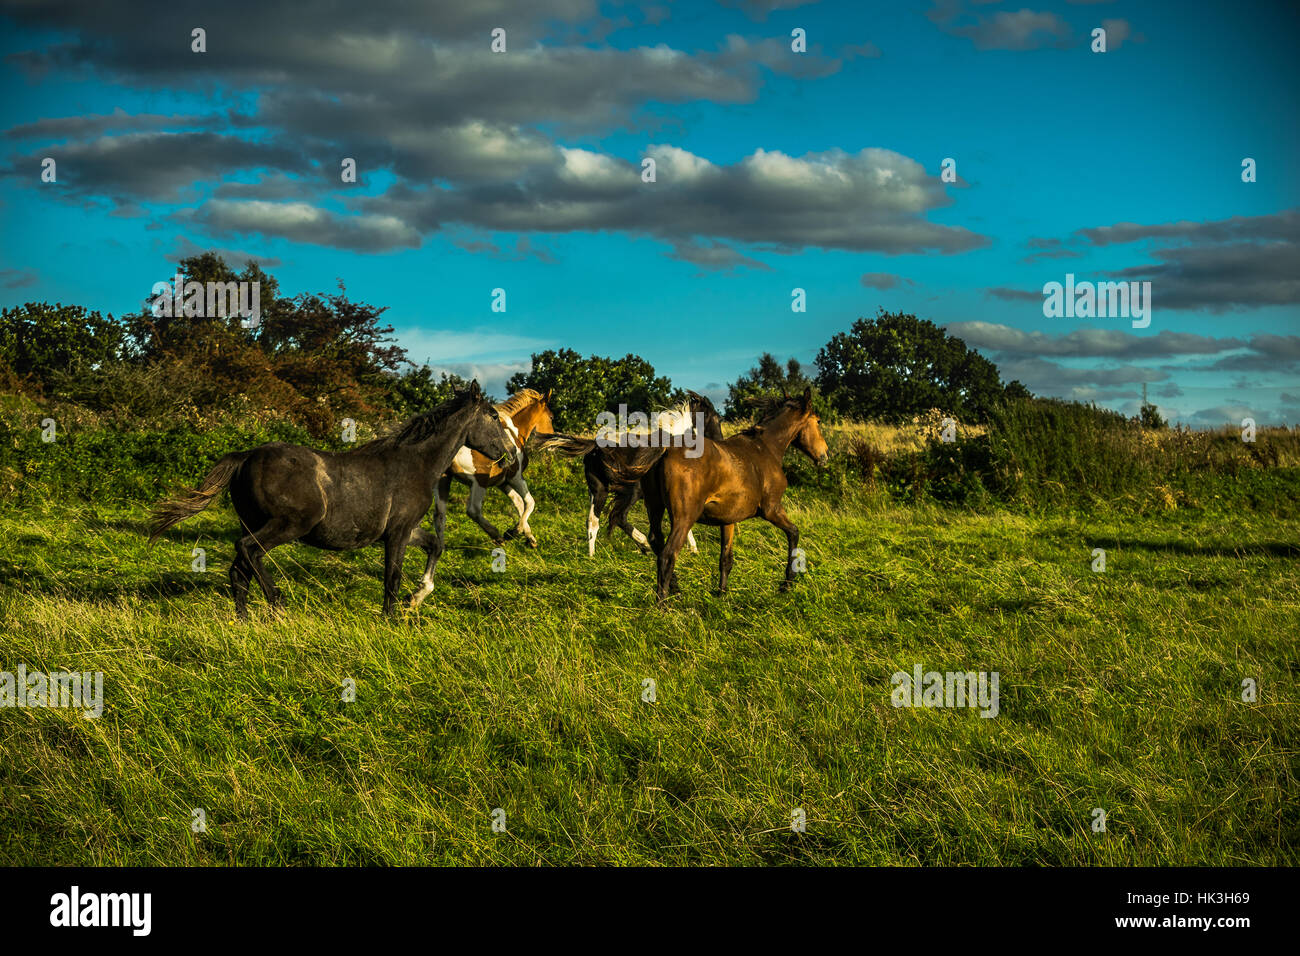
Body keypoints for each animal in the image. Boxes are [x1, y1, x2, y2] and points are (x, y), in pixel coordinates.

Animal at [147, 382, 515, 618]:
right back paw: (277, 605)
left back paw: (244, 621)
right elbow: (392, 576)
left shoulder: (407, 529)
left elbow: (435, 546)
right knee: (248, 551)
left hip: (252, 521)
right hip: (288, 525)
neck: (415, 462)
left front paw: (417, 597)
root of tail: (246, 456)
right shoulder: (397, 534)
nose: (510, 454)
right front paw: (391, 617)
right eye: (494, 417)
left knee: (239, 571)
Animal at [443, 388, 555, 548]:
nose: (552, 443)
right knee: (473, 510)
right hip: (479, 482)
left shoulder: (502, 483)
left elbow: (519, 503)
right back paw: (497, 536)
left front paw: (529, 537)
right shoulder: (516, 477)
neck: (514, 433)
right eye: (551, 417)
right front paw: (514, 532)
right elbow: (529, 502)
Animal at [535, 391, 723, 556]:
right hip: (631, 492)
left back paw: (592, 556)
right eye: (716, 418)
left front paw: (692, 548)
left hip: (598, 491)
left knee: (592, 521)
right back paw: (644, 545)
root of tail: (596, 446)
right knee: (617, 517)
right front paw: (693, 548)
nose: (720, 441)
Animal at [602, 388, 829, 604]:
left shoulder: (728, 520)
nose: (824, 455)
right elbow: (794, 533)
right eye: (818, 421)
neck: (766, 449)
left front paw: (721, 593)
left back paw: (676, 589)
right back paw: (663, 605)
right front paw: (786, 584)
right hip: (684, 517)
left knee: (655, 541)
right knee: (667, 554)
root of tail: (665, 449)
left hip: (655, 508)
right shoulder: (771, 509)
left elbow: (726, 558)